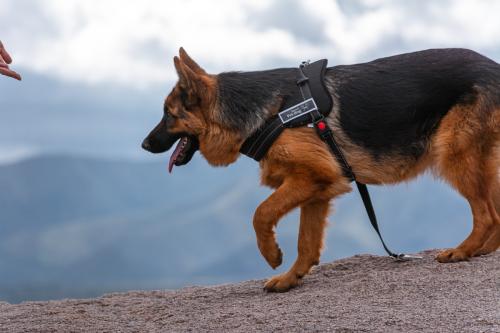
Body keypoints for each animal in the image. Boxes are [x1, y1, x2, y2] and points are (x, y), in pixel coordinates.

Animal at [142, 47, 500, 290]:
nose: (144, 145)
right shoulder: (317, 189)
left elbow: (261, 213)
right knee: (495, 214)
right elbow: (307, 241)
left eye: (168, 115)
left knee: (486, 215)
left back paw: (463, 251)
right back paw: (482, 250)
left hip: (455, 156)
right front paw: (291, 277)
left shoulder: (310, 178)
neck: (268, 111)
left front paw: (272, 255)